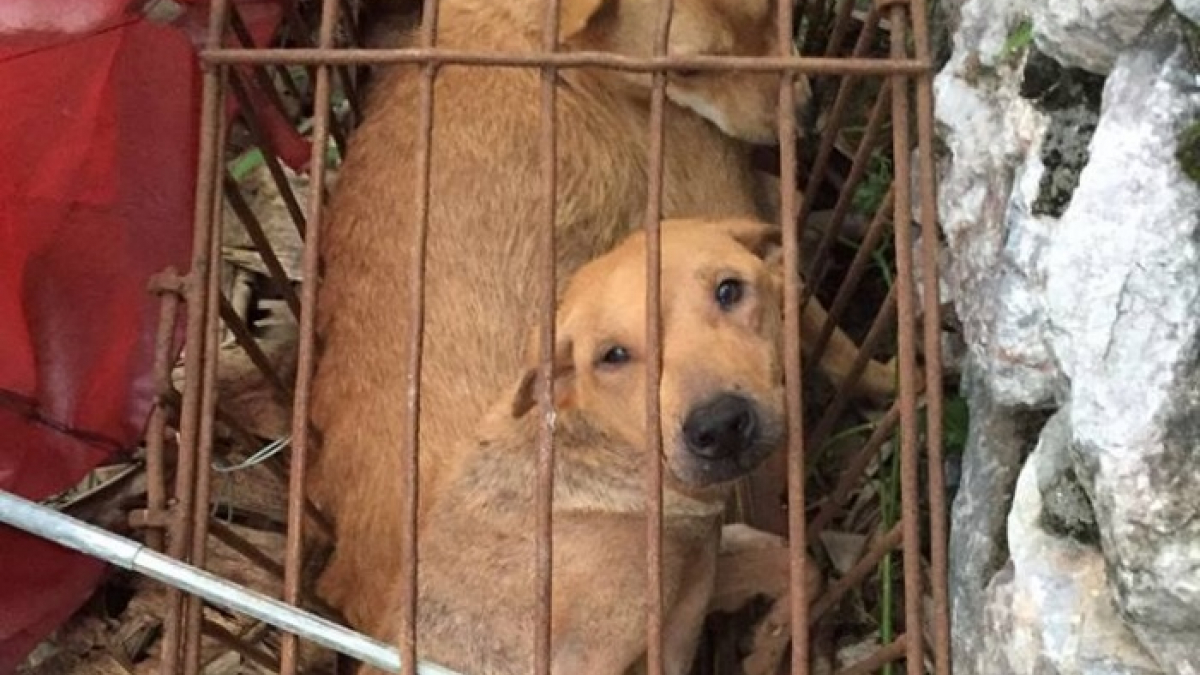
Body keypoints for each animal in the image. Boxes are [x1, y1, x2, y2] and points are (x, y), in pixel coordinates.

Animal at [360, 219, 820, 672]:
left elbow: (799, 563)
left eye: (729, 290)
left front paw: (766, 644)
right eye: (612, 355)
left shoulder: (700, 573)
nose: (720, 425)